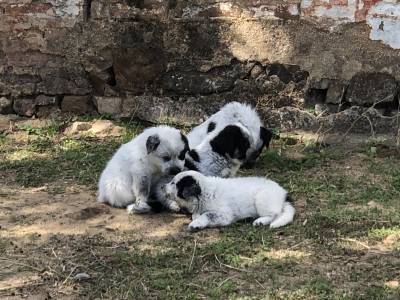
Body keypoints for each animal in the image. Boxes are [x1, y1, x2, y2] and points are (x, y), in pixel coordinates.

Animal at [164, 170, 296, 231]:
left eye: (173, 183)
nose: (162, 187)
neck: (204, 193)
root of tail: (283, 193)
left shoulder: (225, 215)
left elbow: (207, 214)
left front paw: (196, 224)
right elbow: (197, 214)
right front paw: (196, 217)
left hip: (262, 199)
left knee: (274, 214)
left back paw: (260, 221)